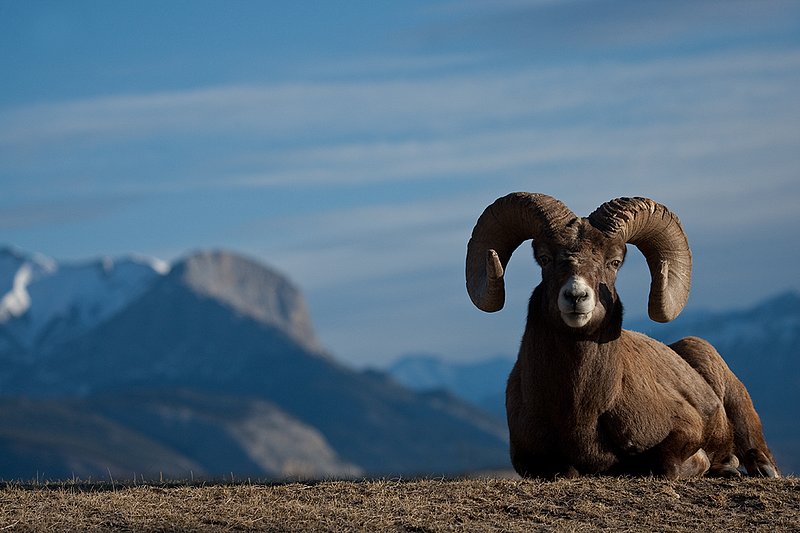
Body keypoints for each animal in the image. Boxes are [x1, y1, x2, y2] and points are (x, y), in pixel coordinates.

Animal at [465, 192, 779, 479]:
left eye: (614, 262)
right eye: (544, 259)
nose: (576, 296)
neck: (582, 410)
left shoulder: (687, 427)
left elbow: (665, 465)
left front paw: (706, 464)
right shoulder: (528, 459)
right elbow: (565, 471)